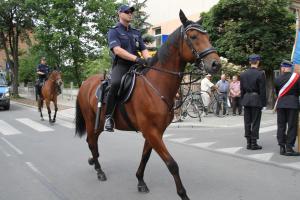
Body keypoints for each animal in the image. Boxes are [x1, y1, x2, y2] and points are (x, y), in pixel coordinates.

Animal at [75, 10, 220, 200]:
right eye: (194, 36)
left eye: (207, 36)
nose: (216, 64)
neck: (156, 85)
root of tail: (85, 83)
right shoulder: (151, 132)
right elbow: (172, 164)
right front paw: (183, 194)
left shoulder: (155, 132)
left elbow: (145, 156)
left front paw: (140, 181)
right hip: (92, 120)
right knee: (92, 141)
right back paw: (99, 170)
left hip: (97, 123)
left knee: (92, 140)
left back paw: (94, 161)